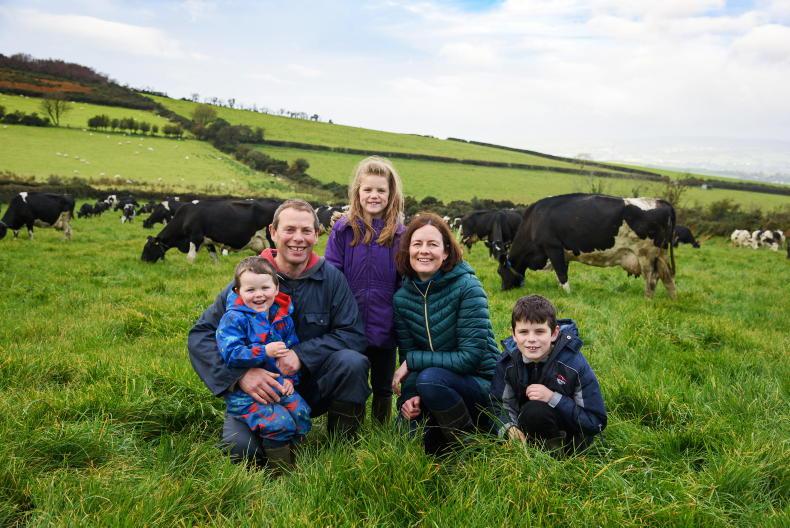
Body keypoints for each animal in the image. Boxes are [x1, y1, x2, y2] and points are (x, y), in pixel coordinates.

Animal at [141, 198, 281, 263]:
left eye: (148, 247)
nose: (142, 260)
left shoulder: (195, 238)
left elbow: (190, 258)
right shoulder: (208, 242)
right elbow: (215, 259)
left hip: (272, 242)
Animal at [498, 194, 676, 298]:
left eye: (500, 272)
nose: (502, 289)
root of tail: (660, 201)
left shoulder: (552, 247)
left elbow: (561, 274)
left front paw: (567, 294)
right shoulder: (563, 254)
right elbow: (561, 273)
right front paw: (560, 291)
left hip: (646, 254)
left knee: (651, 279)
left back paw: (647, 300)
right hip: (661, 254)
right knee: (667, 278)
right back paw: (672, 300)